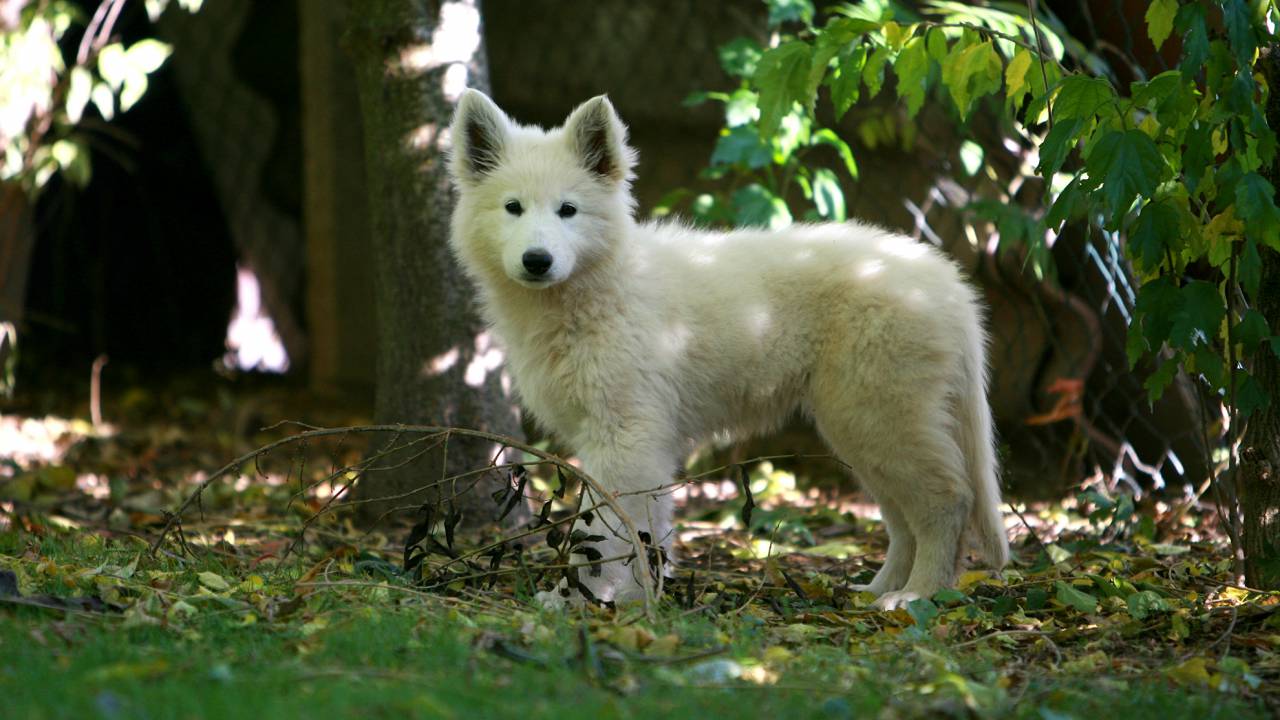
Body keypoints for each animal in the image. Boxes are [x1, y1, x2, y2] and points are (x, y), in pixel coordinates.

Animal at [445, 88, 1003, 604]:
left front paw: (584, 599)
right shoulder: (633, 442)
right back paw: (876, 590)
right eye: (513, 208)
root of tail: (948, 281)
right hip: (861, 426)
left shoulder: (627, 438)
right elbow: (641, 530)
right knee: (903, 516)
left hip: (879, 415)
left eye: (568, 211)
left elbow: (603, 531)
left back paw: (918, 596)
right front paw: (635, 601)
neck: (597, 287)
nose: (537, 260)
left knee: (946, 501)